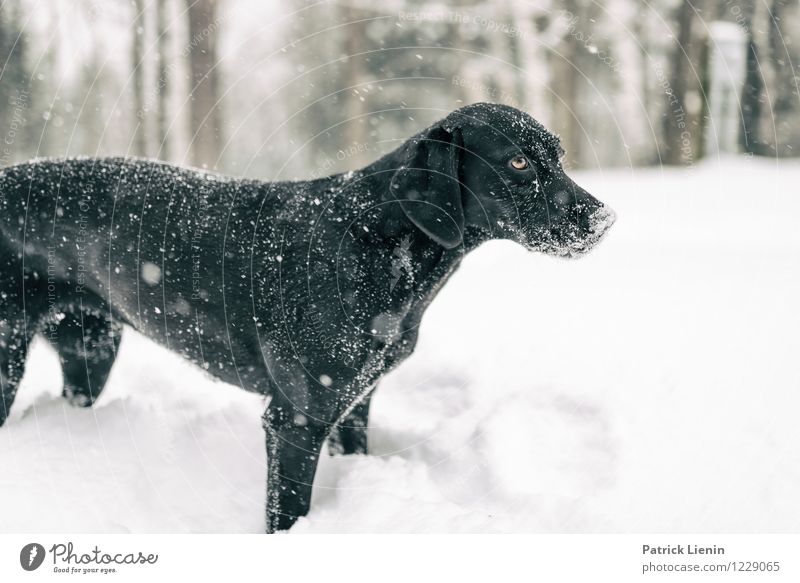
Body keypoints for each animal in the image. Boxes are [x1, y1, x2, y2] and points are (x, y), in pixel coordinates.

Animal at [0, 101, 616, 532]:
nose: (605, 218)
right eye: (518, 161)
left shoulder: (355, 402)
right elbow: (288, 511)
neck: (381, 244)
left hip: (92, 349)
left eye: (558, 158)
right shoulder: (295, 418)